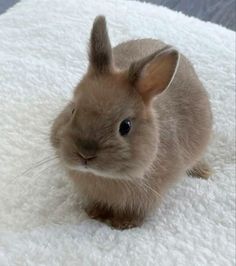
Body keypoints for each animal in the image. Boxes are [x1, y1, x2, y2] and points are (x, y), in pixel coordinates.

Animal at [50, 16, 213, 229]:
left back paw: (205, 172)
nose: (85, 154)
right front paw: (94, 214)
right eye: (73, 110)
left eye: (125, 126)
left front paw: (124, 224)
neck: (104, 177)